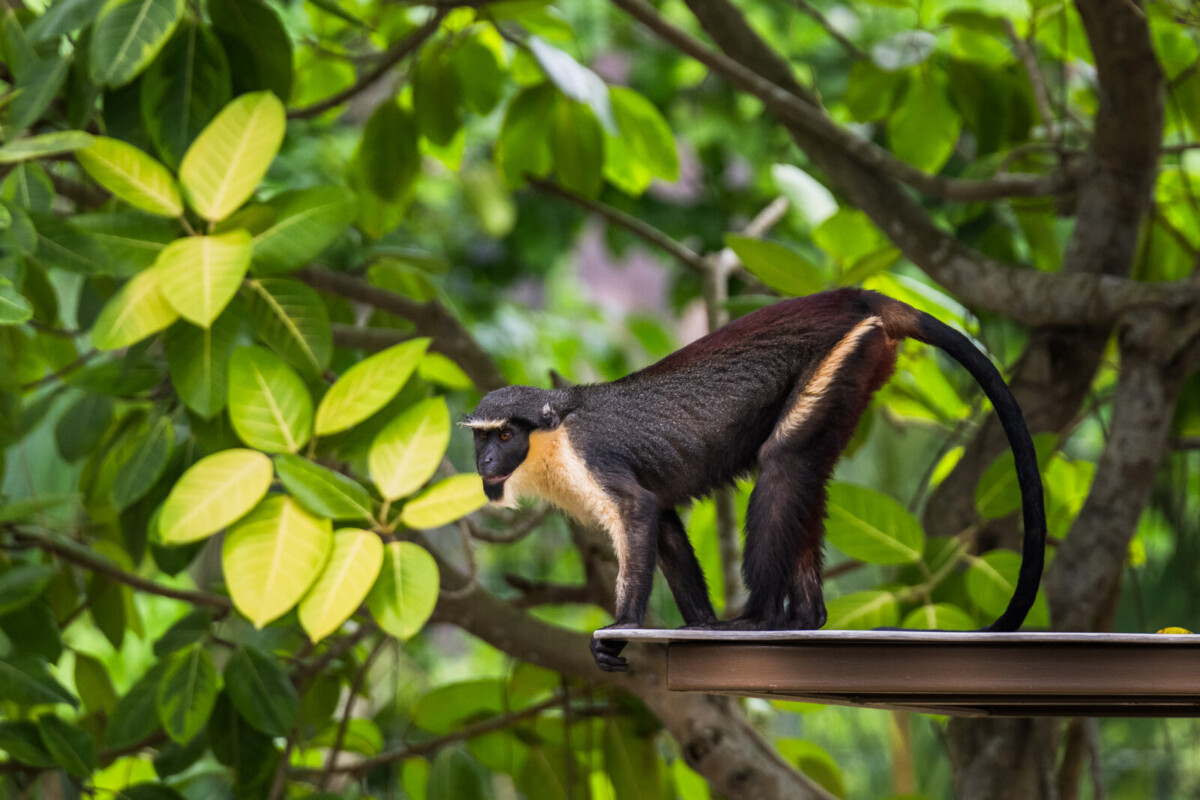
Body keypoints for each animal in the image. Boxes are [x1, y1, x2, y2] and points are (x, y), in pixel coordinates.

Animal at [463, 288, 1045, 672]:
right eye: (481, 439)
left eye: (506, 436)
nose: (485, 463)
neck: (554, 435)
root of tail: (861, 297)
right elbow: (664, 522)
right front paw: (698, 622)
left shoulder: (592, 459)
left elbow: (638, 511)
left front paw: (621, 628)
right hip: (858, 364)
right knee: (806, 470)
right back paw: (805, 616)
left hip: (843, 352)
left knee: (784, 459)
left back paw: (761, 618)